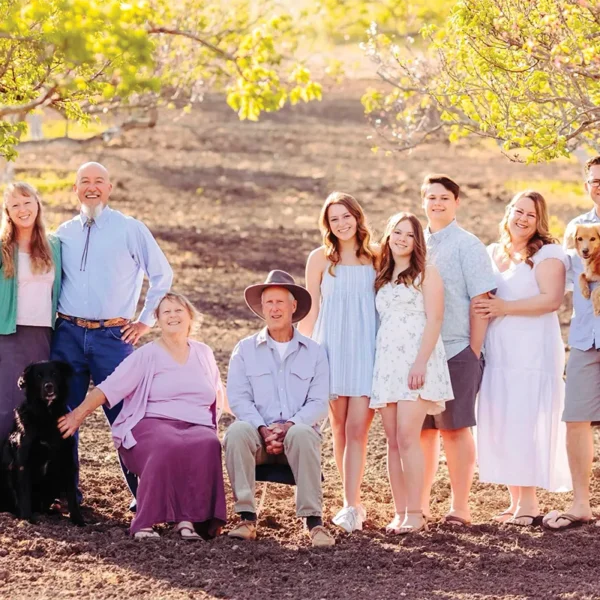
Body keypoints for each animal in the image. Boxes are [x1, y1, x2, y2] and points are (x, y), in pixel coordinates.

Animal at [0, 360, 84, 524]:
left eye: (55, 373)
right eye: (38, 376)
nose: (48, 386)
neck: (47, 415)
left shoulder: (67, 459)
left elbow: (71, 494)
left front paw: (78, 519)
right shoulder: (23, 462)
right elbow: (24, 493)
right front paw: (26, 519)